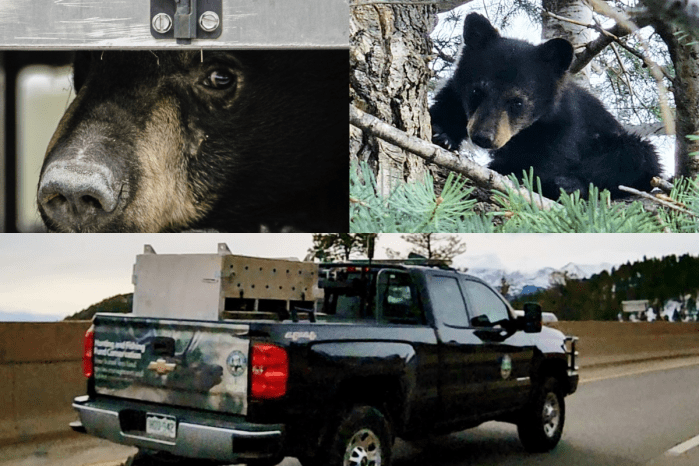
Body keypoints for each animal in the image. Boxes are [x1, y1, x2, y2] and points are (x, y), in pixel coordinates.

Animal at [429, 13, 661, 200]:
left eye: (518, 101)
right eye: (477, 91)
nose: (483, 137)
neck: (524, 132)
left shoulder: (563, 129)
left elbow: (548, 162)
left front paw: (515, 171)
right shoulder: (457, 94)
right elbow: (445, 107)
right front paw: (443, 135)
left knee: (639, 157)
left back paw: (567, 185)